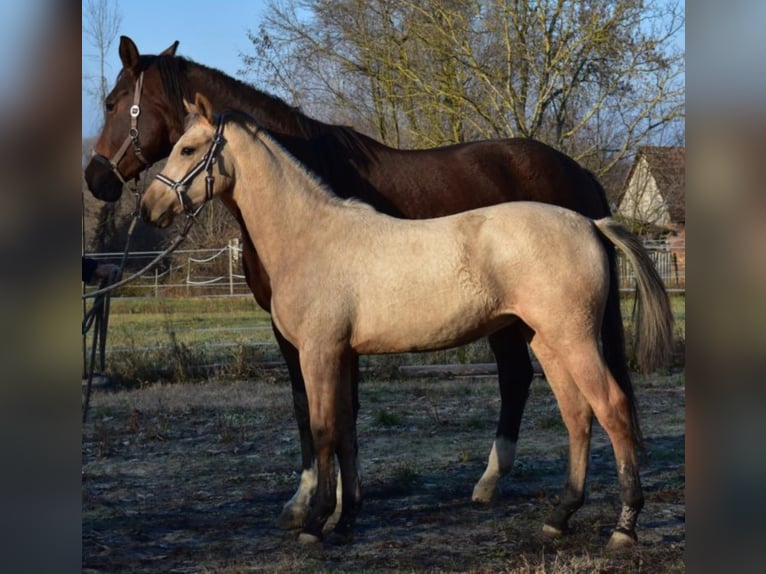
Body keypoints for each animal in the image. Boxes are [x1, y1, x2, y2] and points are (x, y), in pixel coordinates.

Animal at [85, 35, 635, 529]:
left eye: (189, 148)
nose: (140, 202)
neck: (312, 230)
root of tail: (588, 214)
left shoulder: (314, 345)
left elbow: (322, 421)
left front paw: (313, 514)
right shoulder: (332, 346)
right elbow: (340, 422)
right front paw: (343, 510)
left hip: (564, 335)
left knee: (602, 403)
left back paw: (614, 522)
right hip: (541, 334)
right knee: (569, 406)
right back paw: (549, 508)